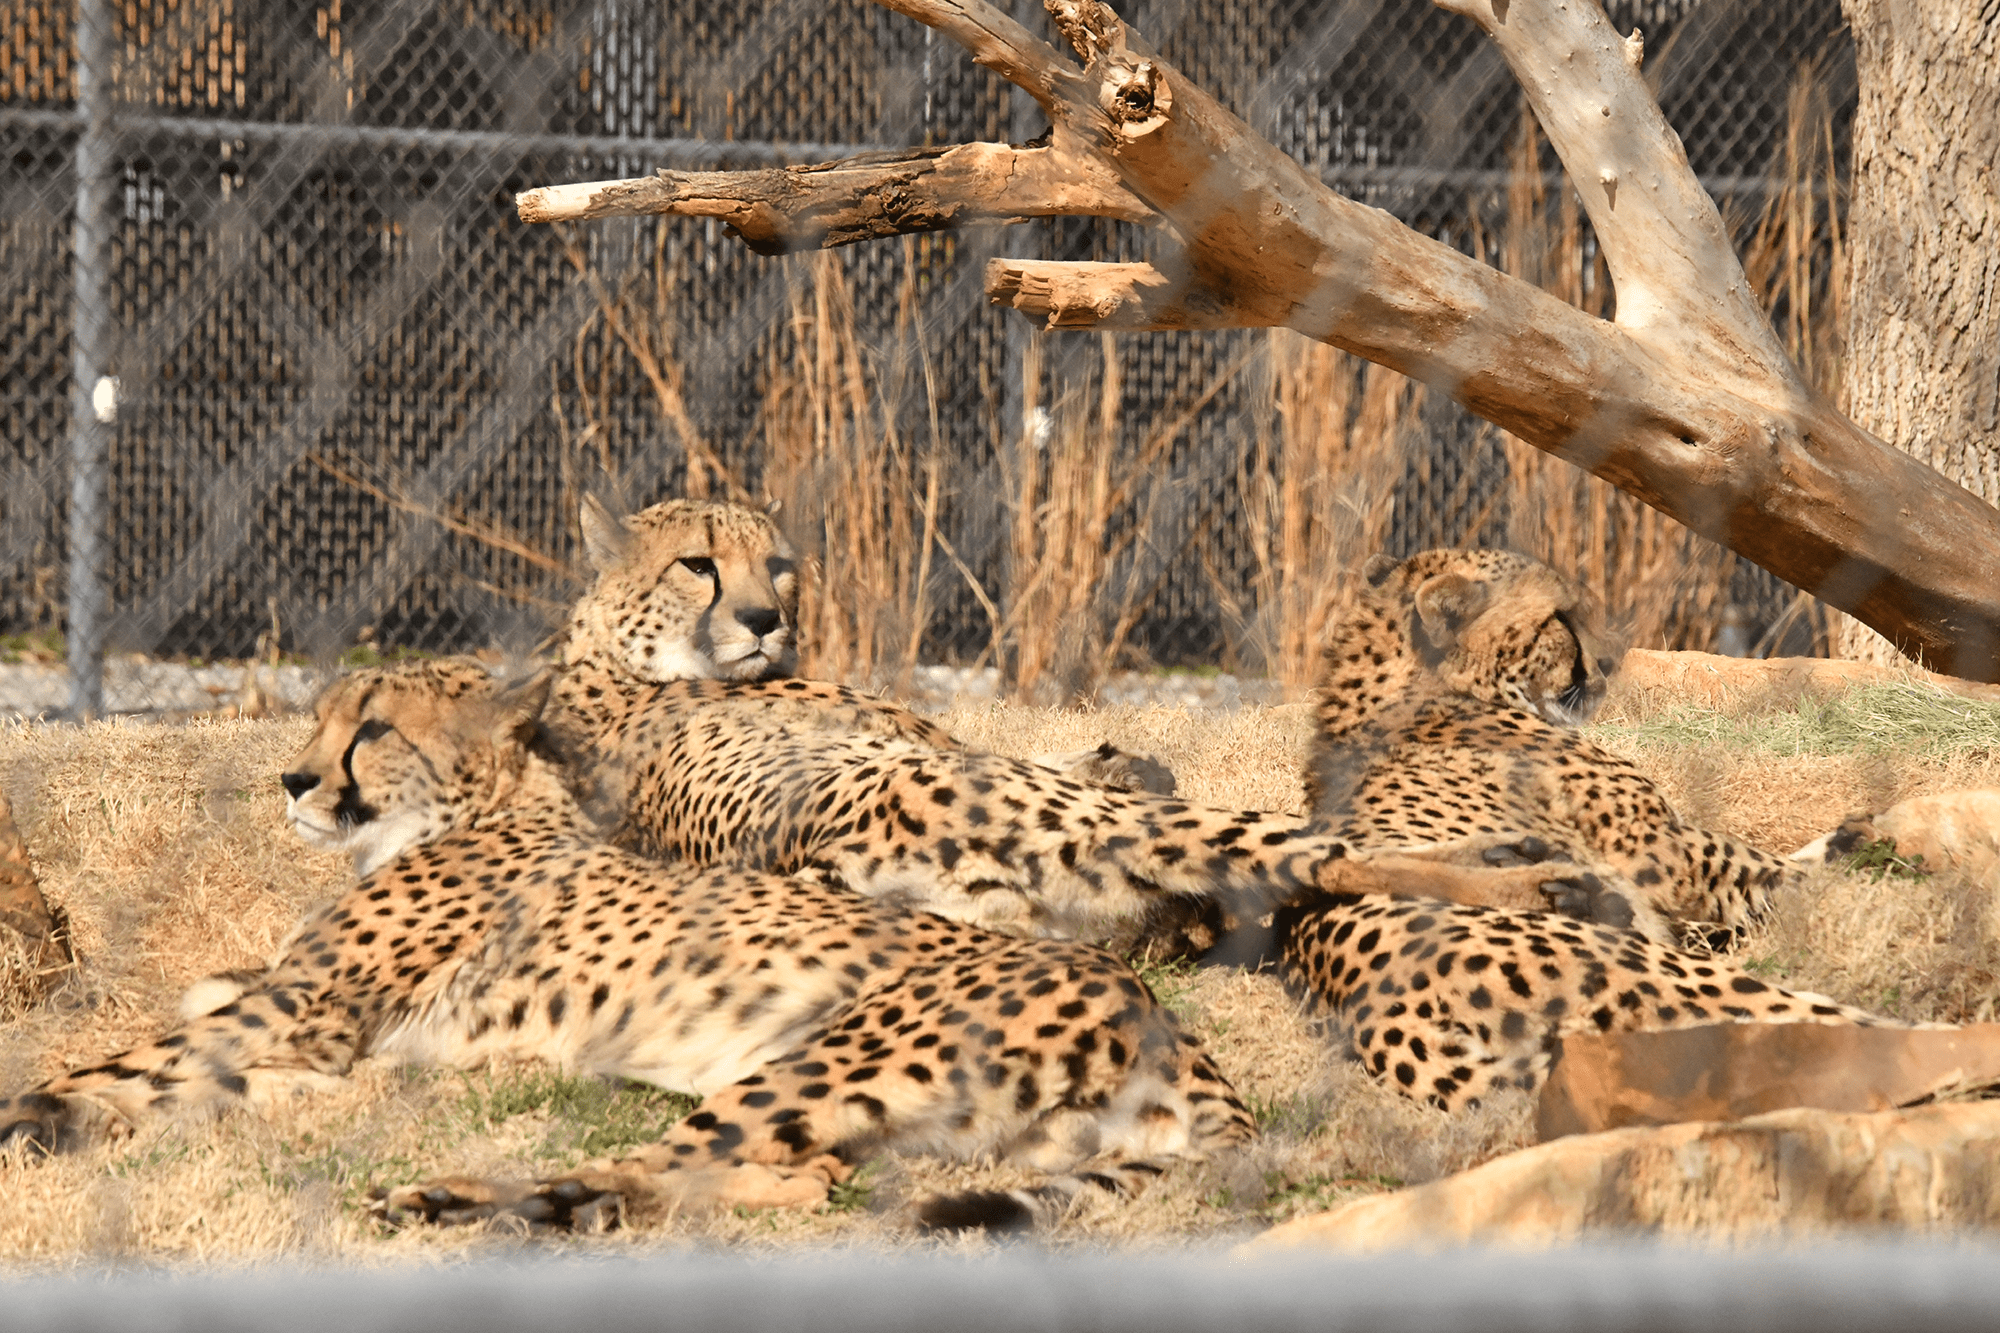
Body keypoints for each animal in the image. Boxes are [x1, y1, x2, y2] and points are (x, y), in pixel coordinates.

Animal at [0, 660, 1248, 1232]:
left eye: (372, 728)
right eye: (321, 718)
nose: (294, 780)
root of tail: (1157, 1013)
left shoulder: (301, 1014)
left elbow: (134, 1055)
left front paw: (34, 1113)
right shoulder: (329, 1038)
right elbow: (203, 1054)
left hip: (823, 1056)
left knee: (712, 1168)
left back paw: (467, 1198)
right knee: (801, 1178)